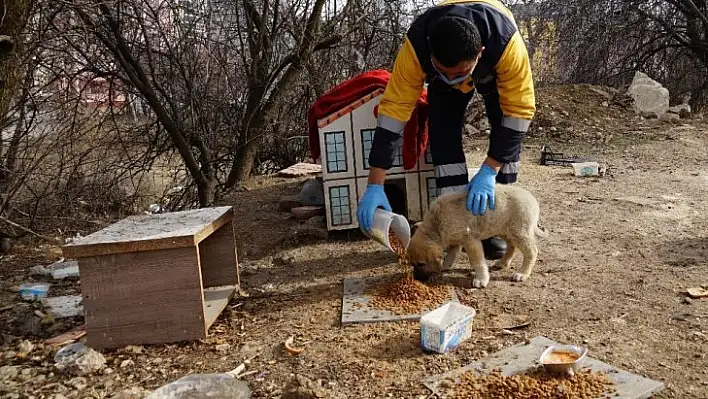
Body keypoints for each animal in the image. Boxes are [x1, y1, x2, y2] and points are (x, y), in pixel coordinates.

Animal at [404, 186, 548, 290]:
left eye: (421, 264)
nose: (417, 279)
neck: (437, 224)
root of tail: (533, 199)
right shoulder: (455, 239)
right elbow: (451, 253)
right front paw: (445, 265)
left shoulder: (471, 241)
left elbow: (477, 262)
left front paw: (481, 279)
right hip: (504, 229)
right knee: (511, 247)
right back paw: (502, 263)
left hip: (519, 232)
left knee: (532, 251)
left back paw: (522, 273)